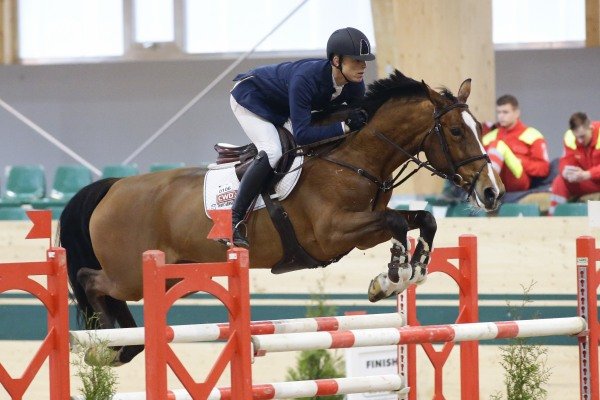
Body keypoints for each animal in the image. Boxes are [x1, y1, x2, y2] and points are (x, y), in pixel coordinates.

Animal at [59, 69, 502, 366]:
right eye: (456, 132)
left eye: (480, 127)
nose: (492, 192)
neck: (354, 156)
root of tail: (113, 186)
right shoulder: (333, 232)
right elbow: (396, 223)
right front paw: (392, 277)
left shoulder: (362, 229)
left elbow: (423, 219)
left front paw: (413, 270)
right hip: (133, 273)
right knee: (89, 280)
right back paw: (109, 343)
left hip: (167, 272)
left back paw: (124, 341)